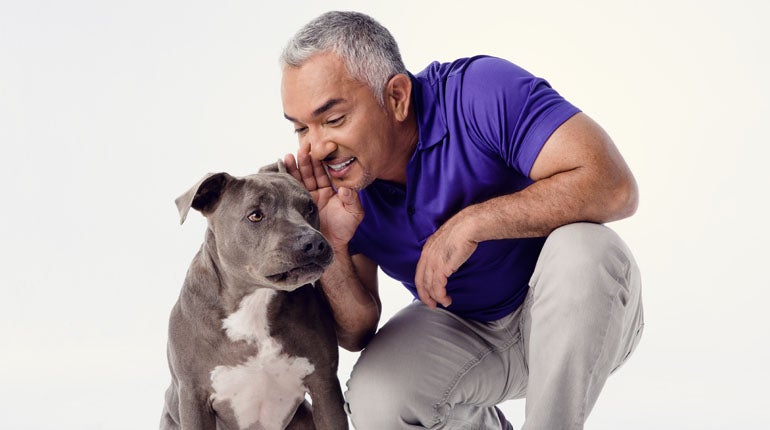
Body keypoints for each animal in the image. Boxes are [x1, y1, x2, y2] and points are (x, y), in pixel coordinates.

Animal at [160, 160, 348, 430]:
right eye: (255, 215)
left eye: (310, 208)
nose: (314, 243)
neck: (255, 301)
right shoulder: (193, 395)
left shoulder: (325, 386)